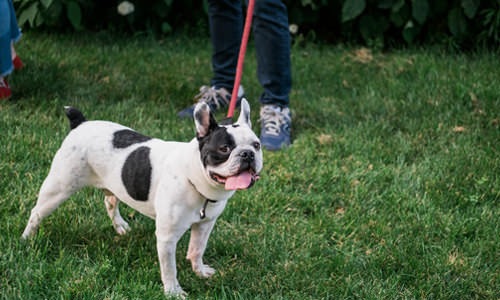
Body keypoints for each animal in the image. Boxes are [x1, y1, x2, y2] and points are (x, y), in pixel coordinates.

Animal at [21, 99, 264, 296]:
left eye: (257, 145)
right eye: (224, 149)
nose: (247, 154)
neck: (194, 176)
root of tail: (81, 123)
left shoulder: (205, 225)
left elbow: (197, 250)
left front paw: (200, 271)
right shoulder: (167, 238)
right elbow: (169, 268)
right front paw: (173, 292)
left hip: (113, 185)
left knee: (109, 202)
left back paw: (120, 226)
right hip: (59, 187)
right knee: (37, 212)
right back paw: (27, 238)